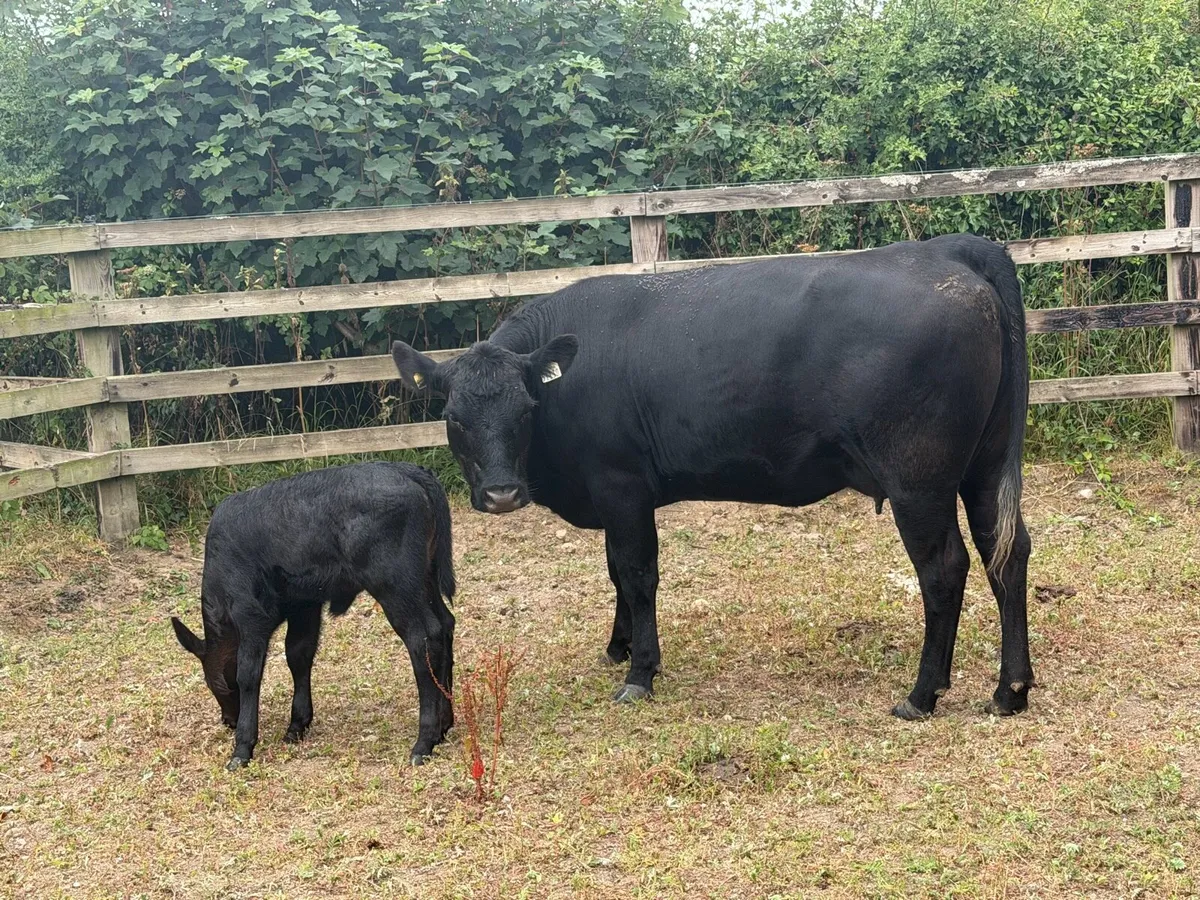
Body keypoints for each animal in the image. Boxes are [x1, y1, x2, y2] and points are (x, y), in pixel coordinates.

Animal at [170, 462, 456, 770]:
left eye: (215, 685)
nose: (229, 720)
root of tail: (409, 470)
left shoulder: (249, 614)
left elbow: (248, 672)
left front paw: (243, 746)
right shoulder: (305, 605)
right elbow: (298, 655)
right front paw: (297, 724)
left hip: (396, 587)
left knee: (422, 638)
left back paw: (424, 740)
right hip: (424, 581)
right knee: (445, 625)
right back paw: (444, 724)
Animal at [391, 234, 1033, 720]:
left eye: (525, 410)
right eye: (453, 417)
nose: (501, 494)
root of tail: (947, 251)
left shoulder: (622, 486)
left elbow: (636, 574)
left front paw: (640, 671)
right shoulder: (612, 495)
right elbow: (615, 572)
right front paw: (619, 645)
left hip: (918, 480)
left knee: (945, 569)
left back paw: (922, 695)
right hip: (983, 467)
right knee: (1007, 553)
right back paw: (1011, 690)